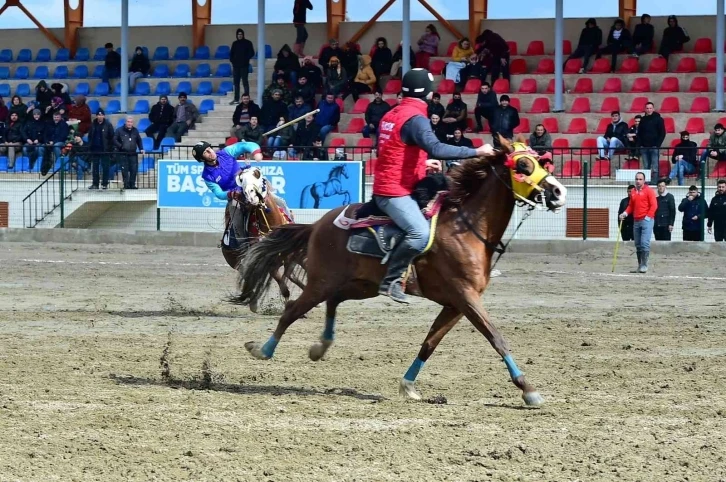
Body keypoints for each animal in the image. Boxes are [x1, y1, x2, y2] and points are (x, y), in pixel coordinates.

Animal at [233, 137, 568, 404]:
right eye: (523, 165)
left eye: (541, 161)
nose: (558, 192)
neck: (466, 227)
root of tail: (316, 225)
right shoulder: (466, 296)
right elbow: (496, 337)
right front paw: (528, 390)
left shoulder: (456, 304)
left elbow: (430, 343)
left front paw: (408, 385)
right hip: (322, 281)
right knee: (292, 311)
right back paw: (262, 349)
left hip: (360, 285)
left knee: (333, 302)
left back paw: (320, 347)